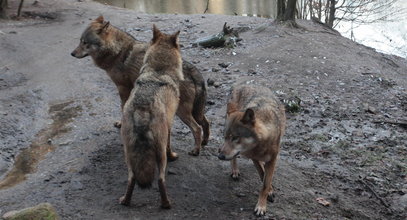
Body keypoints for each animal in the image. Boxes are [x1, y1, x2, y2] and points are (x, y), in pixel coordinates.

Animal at [71, 15, 210, 156]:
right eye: (80, 41)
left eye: (85, 43)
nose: (72, 54)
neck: (118, 52)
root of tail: (195, 73)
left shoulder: (123, 88)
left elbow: (122, 107)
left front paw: (121, 123)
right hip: (195, 112)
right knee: (206, 122)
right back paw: (204, 142)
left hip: (182, 112)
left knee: (197, 128)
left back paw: (195, 150)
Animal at [119, 24, 183, 209]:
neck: (159, 69)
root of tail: (142, 108)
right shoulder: (170, 127)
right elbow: (170, 146)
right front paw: (174, 156)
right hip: (159, 155)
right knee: (161, 180)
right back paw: (166, 204)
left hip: (128, 155)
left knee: (132, 178)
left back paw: (125, 201)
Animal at [218, 84, 286, 217]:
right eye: (225, 137)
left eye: (235, 137)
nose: (220, 156)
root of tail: (244, 83)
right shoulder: (253, 156)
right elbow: (262, 173)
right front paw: (267, 195)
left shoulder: (272, 159)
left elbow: (265, 182)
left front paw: (262, 205)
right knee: (234, 158)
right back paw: (235, 171)